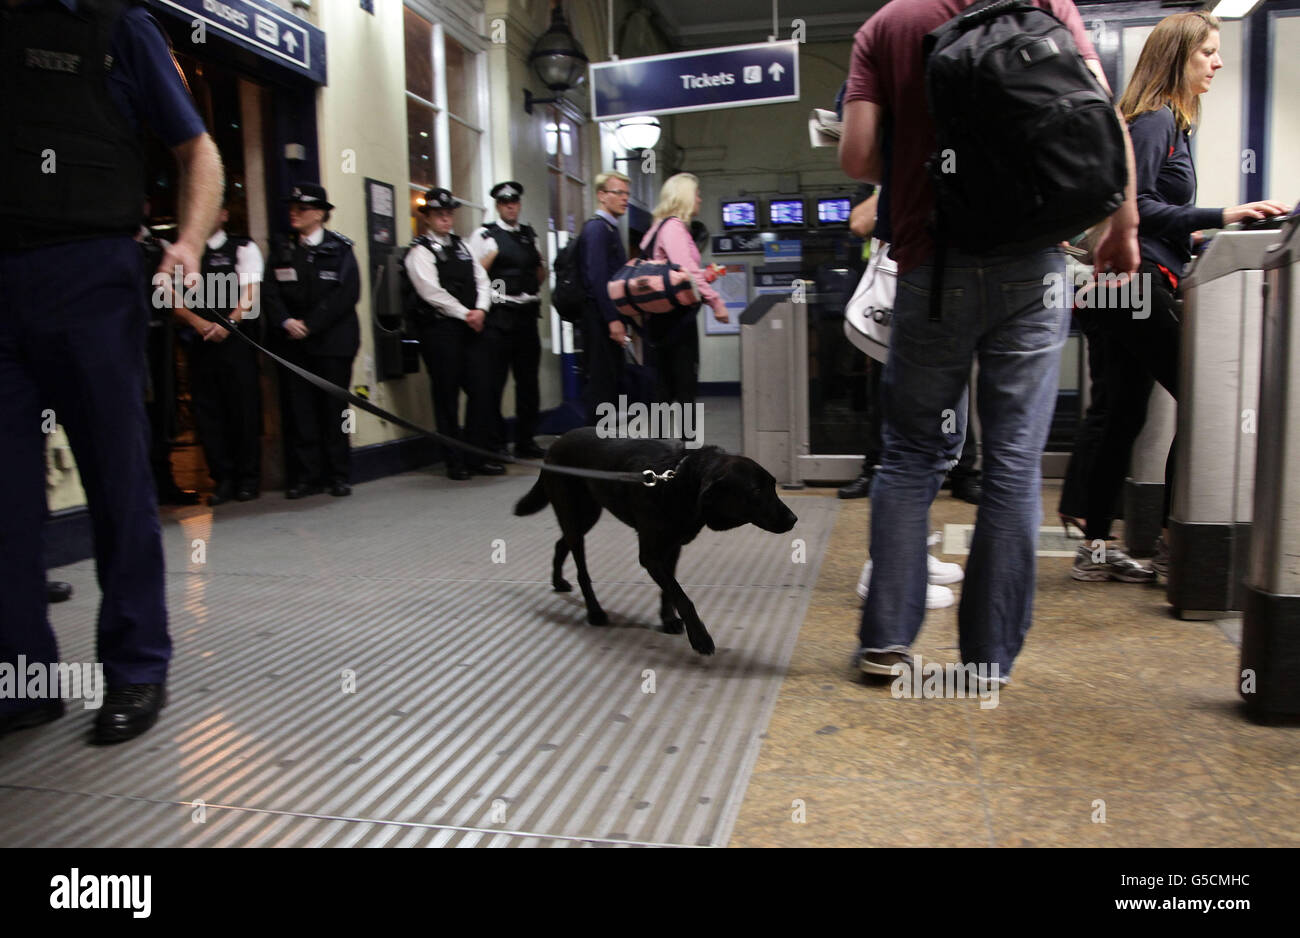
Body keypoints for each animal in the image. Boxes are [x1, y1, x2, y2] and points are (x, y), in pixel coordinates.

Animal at [512, 428, 795, 654]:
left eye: (773, 485)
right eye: (756, 491)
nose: (794, 519)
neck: (678, 484)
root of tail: (555, 445)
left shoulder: (672, 548)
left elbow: (669, 591)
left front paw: (667, 620)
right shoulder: (650, 555)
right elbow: (682, 596)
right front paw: (700, 637)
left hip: (587, 515)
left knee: (562, 543)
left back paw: (558, 581)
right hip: (574, 512)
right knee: (581, 568)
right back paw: (594, 612)